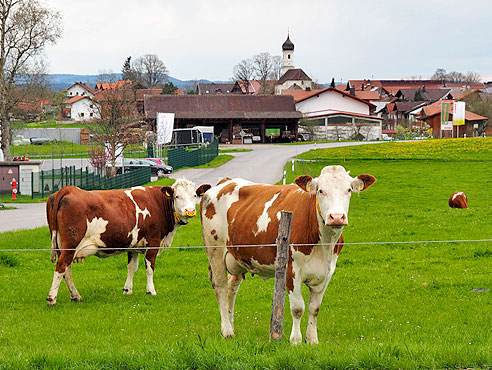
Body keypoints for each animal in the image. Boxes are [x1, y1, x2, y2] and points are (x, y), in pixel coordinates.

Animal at [46, 180, 213, 306]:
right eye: (177, 196)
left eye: (194, 195)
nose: (190, 211)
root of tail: (69, 189)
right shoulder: (153, 242)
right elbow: (149, 268)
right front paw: (151, 291)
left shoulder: (134, 245)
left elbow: (132, 267)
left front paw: (127, 290)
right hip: (70, 244)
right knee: (61, 267)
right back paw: (52, 298)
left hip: (62, 246)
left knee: (67, 271)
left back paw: (76, 296)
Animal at [200, 165, 376, 344]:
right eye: (321, 190)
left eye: (348, 190)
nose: (337, 217)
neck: (324, 244)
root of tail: (225, 181)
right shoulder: (292, 270)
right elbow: (298, 308)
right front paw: (296, 340)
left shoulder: (327, 272)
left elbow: (314, 308)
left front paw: (312, 340)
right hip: (215, 251)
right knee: (221, 288)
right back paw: (227, 330)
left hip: (237, 257)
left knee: (231, 288)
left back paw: (231, 326)